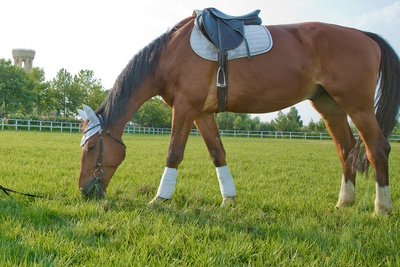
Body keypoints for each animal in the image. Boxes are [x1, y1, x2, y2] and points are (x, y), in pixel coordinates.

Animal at [78, 13, 400, 218]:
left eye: (92, 147)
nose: (84, 191)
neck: (168, 55)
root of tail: (364, 35)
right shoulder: (202, 114)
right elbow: (217, 154)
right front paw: (228, 199)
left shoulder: (184, 108)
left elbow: (173, 154)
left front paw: (160, 198)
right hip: (330, 106)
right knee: (346, 150)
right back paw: (344, 203)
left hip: (357, 106)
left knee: (376, 149)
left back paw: (381, 208)